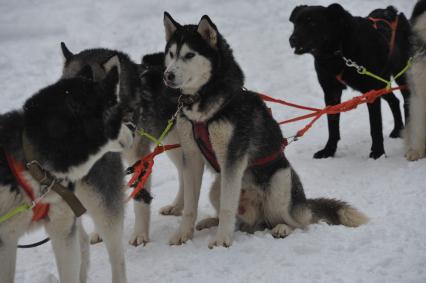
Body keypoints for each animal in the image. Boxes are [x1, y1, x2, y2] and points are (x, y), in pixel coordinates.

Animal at [288, 3, 412, 160]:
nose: (292, 39)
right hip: (380, 84)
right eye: (295, 23)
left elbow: (375, 127)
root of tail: (391, 11)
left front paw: (378, 153)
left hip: (400, 75)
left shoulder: (370, 92)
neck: (338, 52)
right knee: (394, 101)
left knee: (406, 101)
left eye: (312, 23)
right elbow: (332, 125)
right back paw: (398, 129)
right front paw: (329, 150)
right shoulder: (331, 92)